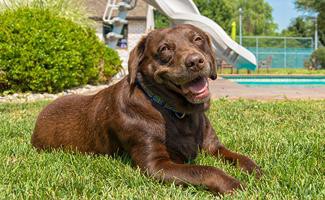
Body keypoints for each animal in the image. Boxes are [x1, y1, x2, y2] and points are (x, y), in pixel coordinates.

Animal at [32, 24, 260, 195]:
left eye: (197, 39)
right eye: (165, 49)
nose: (195, 61)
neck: (175, 112)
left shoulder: (213, 147)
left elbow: (240, 157)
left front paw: (256, 171)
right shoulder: (156, 165)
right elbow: (205, 170)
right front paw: (233, 184)